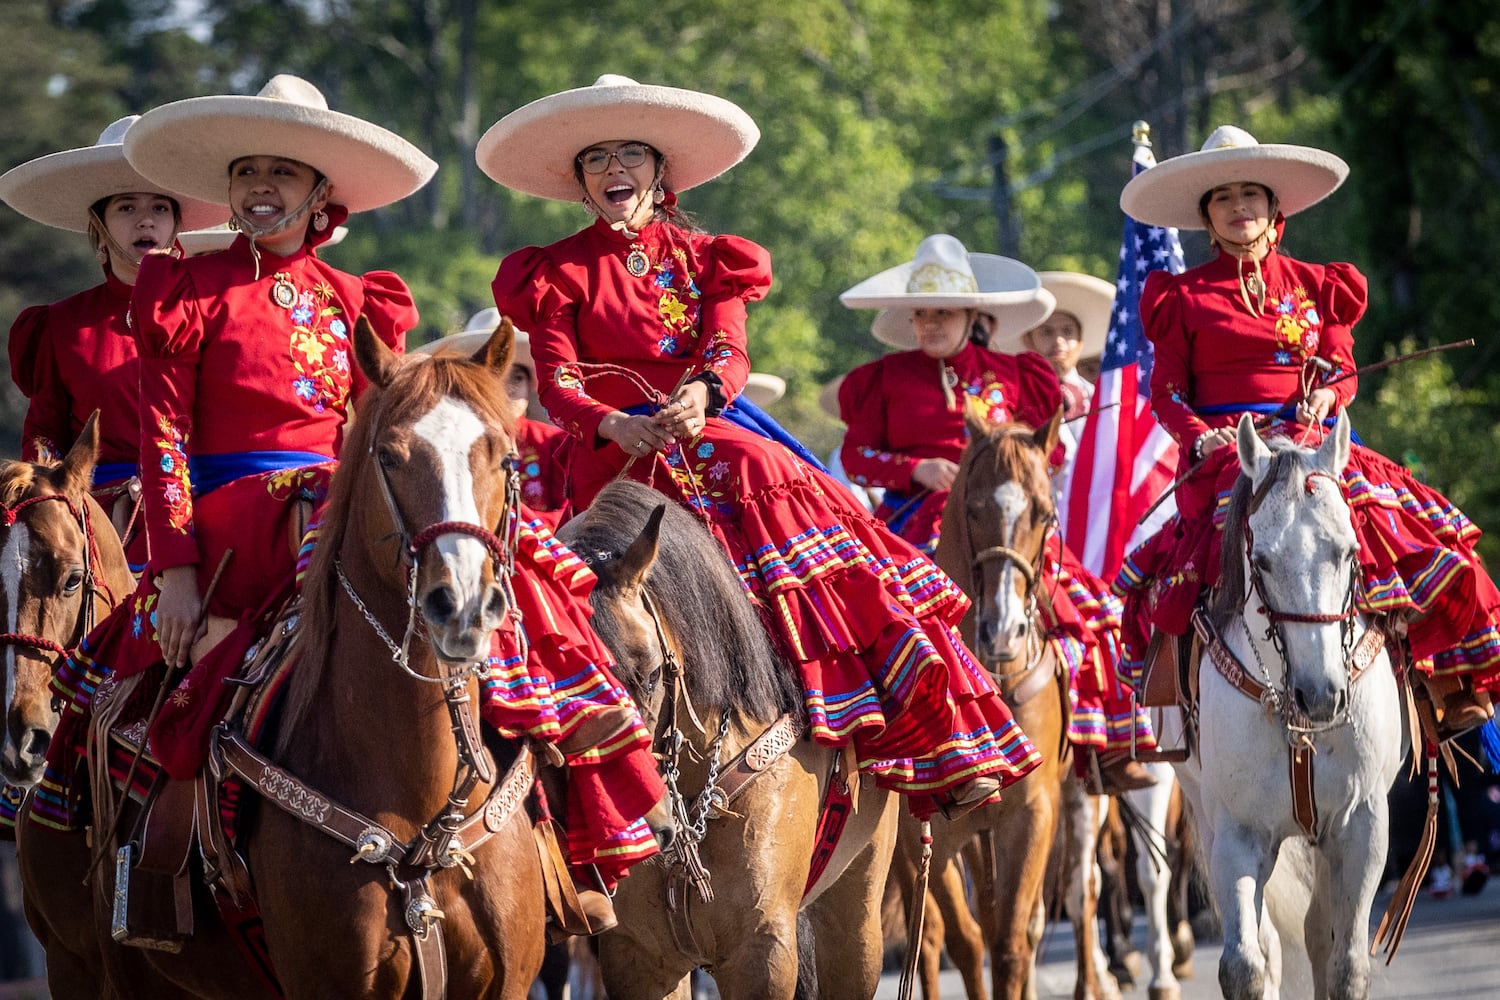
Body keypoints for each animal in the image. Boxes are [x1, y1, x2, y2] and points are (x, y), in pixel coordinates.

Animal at [894, 407, 1122, 1000]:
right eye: (973, 508)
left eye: (1045, 513)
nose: (1003, 630)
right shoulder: (928, 832)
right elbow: (965, 940)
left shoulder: (1032, 813)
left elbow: (1012, 944)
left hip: (1077, 804)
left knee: (1077, 896)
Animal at [1170, 413, 1404, 1000]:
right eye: (1262, 560)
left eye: (1349, 551)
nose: (1320, 695)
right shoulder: (1238, 833)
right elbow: (1245, 965)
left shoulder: (1362, 825)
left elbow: (1346, 964)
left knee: (1319, 932)